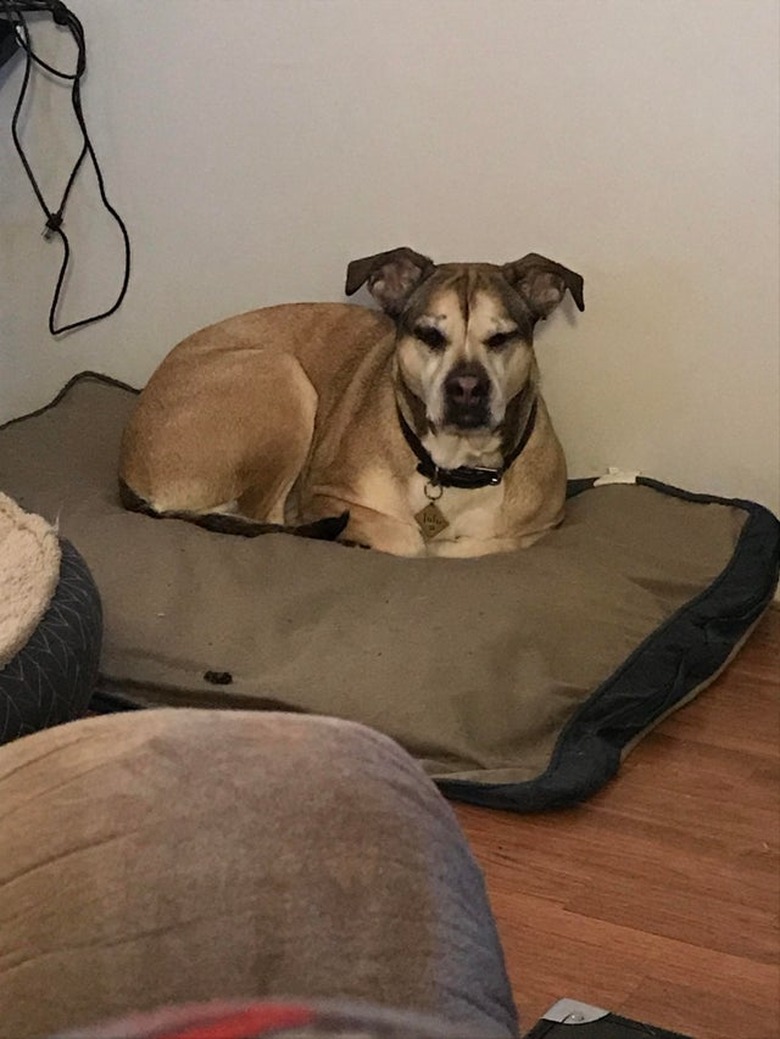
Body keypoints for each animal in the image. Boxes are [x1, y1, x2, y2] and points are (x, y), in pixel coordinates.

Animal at [120, 250, 585, 556]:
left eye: (502, 337)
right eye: (429, 335)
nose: (467, 388)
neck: (453, 468)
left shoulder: (540, 526)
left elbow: (485, 542)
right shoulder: (325, 495)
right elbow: (410, 541)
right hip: (281, 376)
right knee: (268, 520)